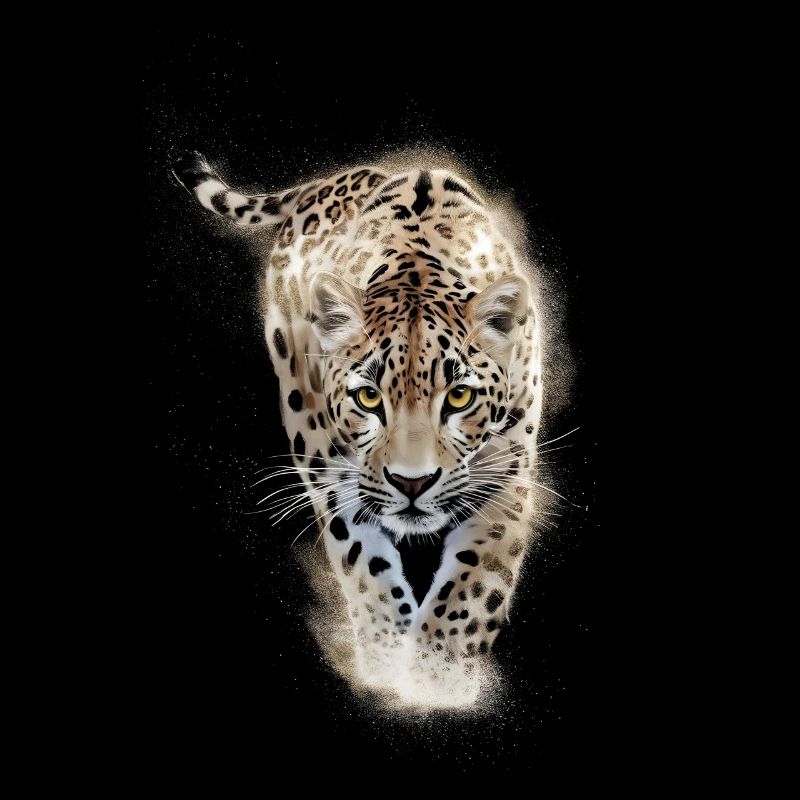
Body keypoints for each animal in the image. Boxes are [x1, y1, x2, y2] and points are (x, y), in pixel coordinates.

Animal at [174, 151, 544, 709]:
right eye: (369, 398)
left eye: (459, 397)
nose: (413, 483)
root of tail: (327, 181)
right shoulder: (332, 472)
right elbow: (364, 564)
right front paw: (388, 663)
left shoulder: (507, 474)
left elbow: (473, 586)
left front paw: (438, 678)